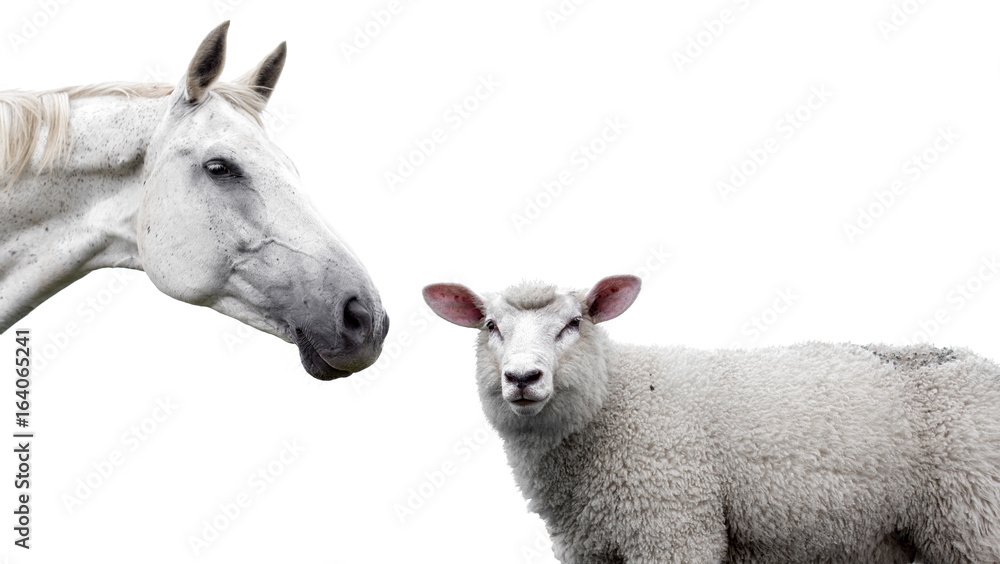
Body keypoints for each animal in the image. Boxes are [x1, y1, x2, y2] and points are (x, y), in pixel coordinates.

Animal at [422, 274, 1000, 563]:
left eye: (573, 324)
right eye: (491, 326)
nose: (522, 378)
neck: (614, 403)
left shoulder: (670, 527)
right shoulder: (588, 545)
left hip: (976, 519)